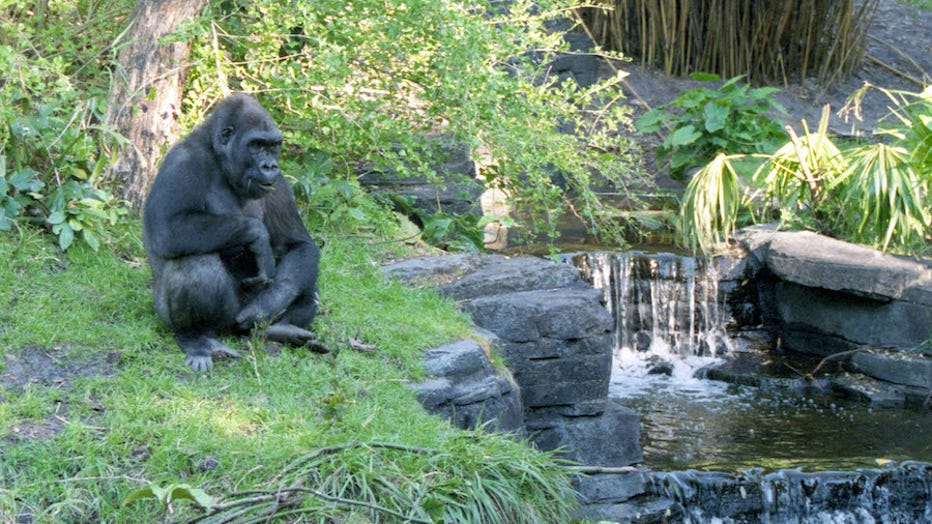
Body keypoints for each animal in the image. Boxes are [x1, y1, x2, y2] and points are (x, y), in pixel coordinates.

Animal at [143, 94, 324, 372]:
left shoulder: (279, 181)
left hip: (244, 324)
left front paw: (269, 302)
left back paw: (278, 329)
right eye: (257, 145)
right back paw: (197, 338)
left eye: (273, 146)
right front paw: (257, 235)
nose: (270, 165)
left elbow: (298, 245)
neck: (218, 157)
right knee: (196, 265)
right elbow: (168, 228)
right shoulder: (182, 161)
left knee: (306, 286)